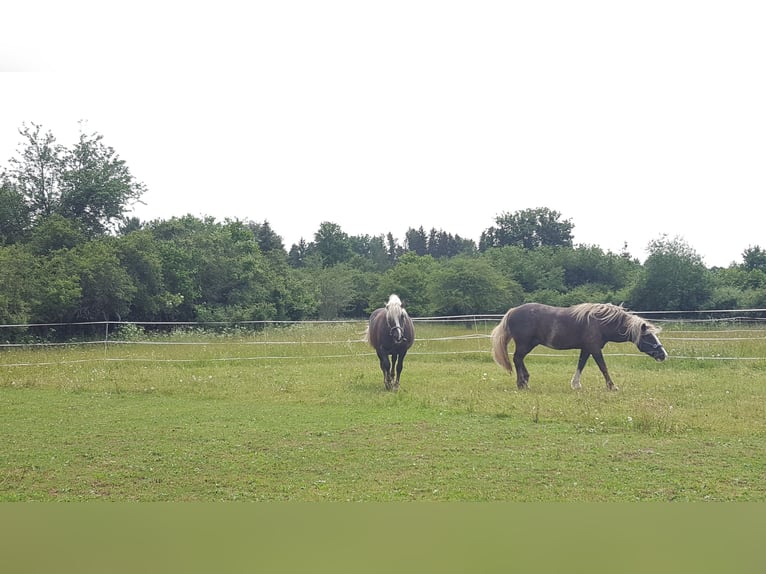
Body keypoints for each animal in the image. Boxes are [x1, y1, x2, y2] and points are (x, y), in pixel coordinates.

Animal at [492, 302, 664, 392]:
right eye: (648, 336)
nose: (663, 354)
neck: (600, 323)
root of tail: (512, 311)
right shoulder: (595, 349)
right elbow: (603, 367)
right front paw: (612, 386)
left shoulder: (586, 349)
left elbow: (581, 365)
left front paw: (575, 384)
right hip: (524, 344)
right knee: (517, 359)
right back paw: (521, 383)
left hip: (529, 344)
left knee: (519, 360)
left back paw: (526, 381)